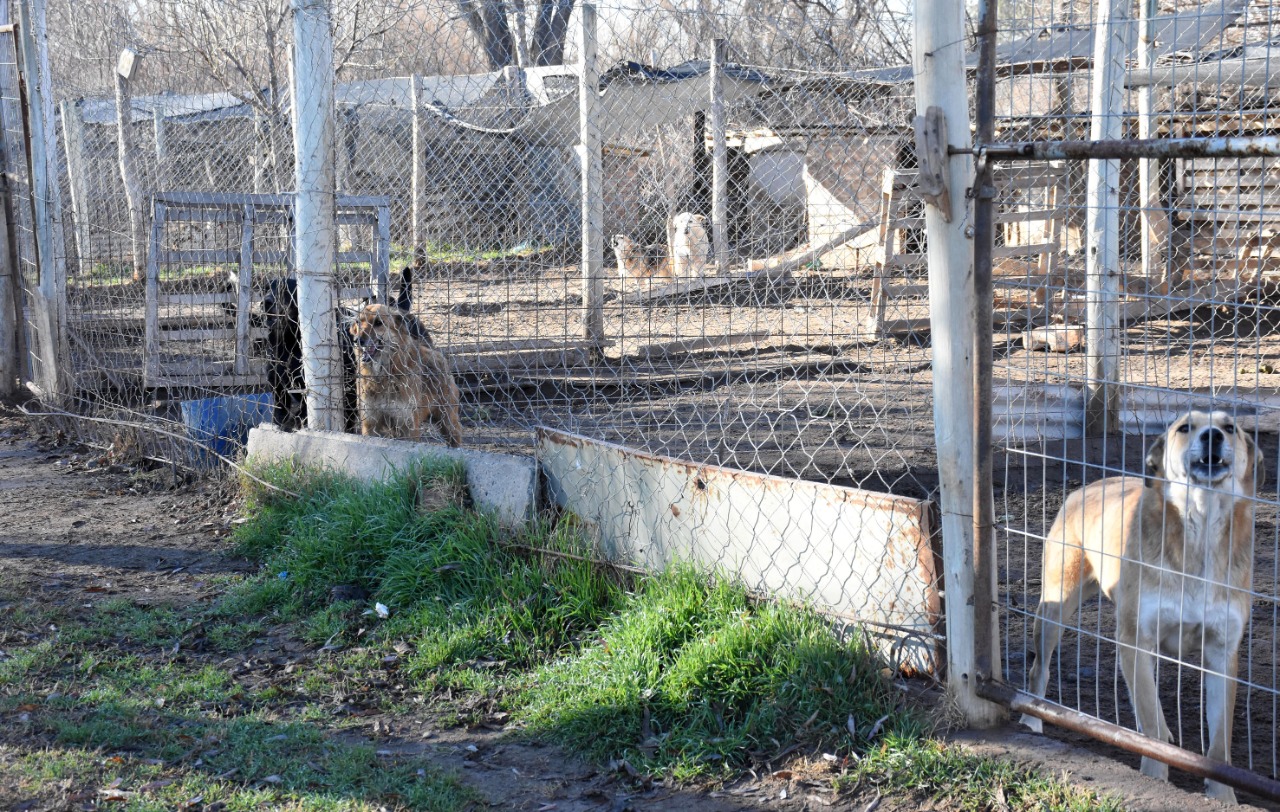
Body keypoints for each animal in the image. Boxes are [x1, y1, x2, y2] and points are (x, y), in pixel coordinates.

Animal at [350, 300, 465, 445]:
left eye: (378, 323)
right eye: (358, 322)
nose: (357, 340)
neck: (384, 375)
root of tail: (431, 349)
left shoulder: (408, 424)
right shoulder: (370, 423)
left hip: (448, 420)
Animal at [1024, 407, 1264, 799]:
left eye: (1230, 428)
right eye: (1185, 427)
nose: (1212, 436)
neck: (1199, 534)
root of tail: (1089, 486)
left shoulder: (1221, 653)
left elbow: (1218, 742)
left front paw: (1223, 797)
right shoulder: (1135, 638)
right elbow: (1149, 721)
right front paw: (1155, 779)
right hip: (1055, 607)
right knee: (1039, 670)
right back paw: (1032, 719)